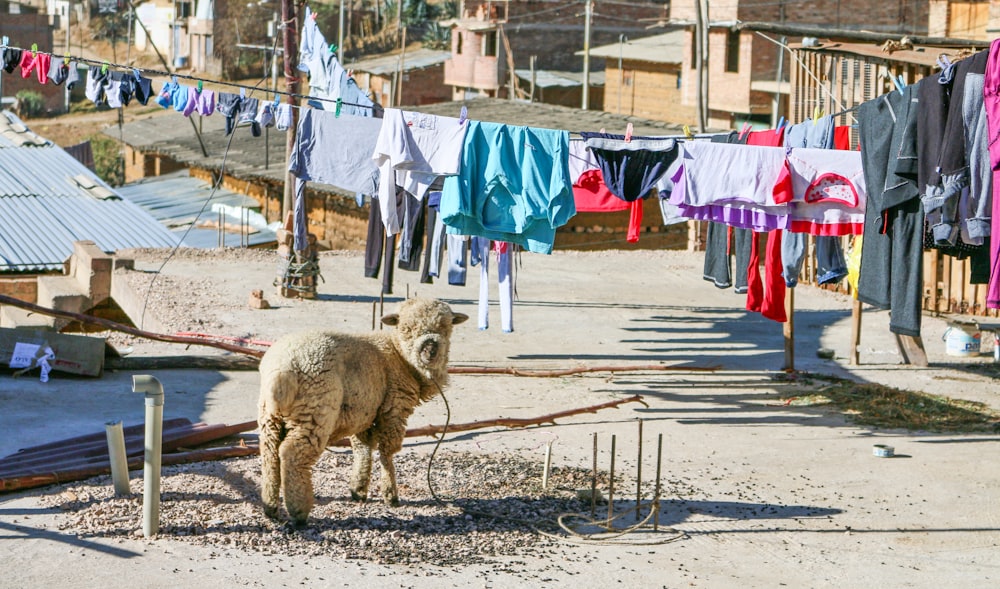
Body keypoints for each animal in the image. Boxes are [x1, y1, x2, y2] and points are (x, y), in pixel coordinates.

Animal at [254, 296, 464, 520]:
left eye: (446, 326)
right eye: (407, 328)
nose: (430, 350)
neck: (399, 355)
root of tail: (281, 369)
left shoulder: (363, 412)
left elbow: (362, 449)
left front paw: (358, 490)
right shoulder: (394, 408)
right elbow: (387, 452)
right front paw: (390, 495)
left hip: (269, 416)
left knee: (269, 453)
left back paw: (270, 508)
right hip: (316, 412)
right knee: (291, 454)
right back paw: (299, 512)